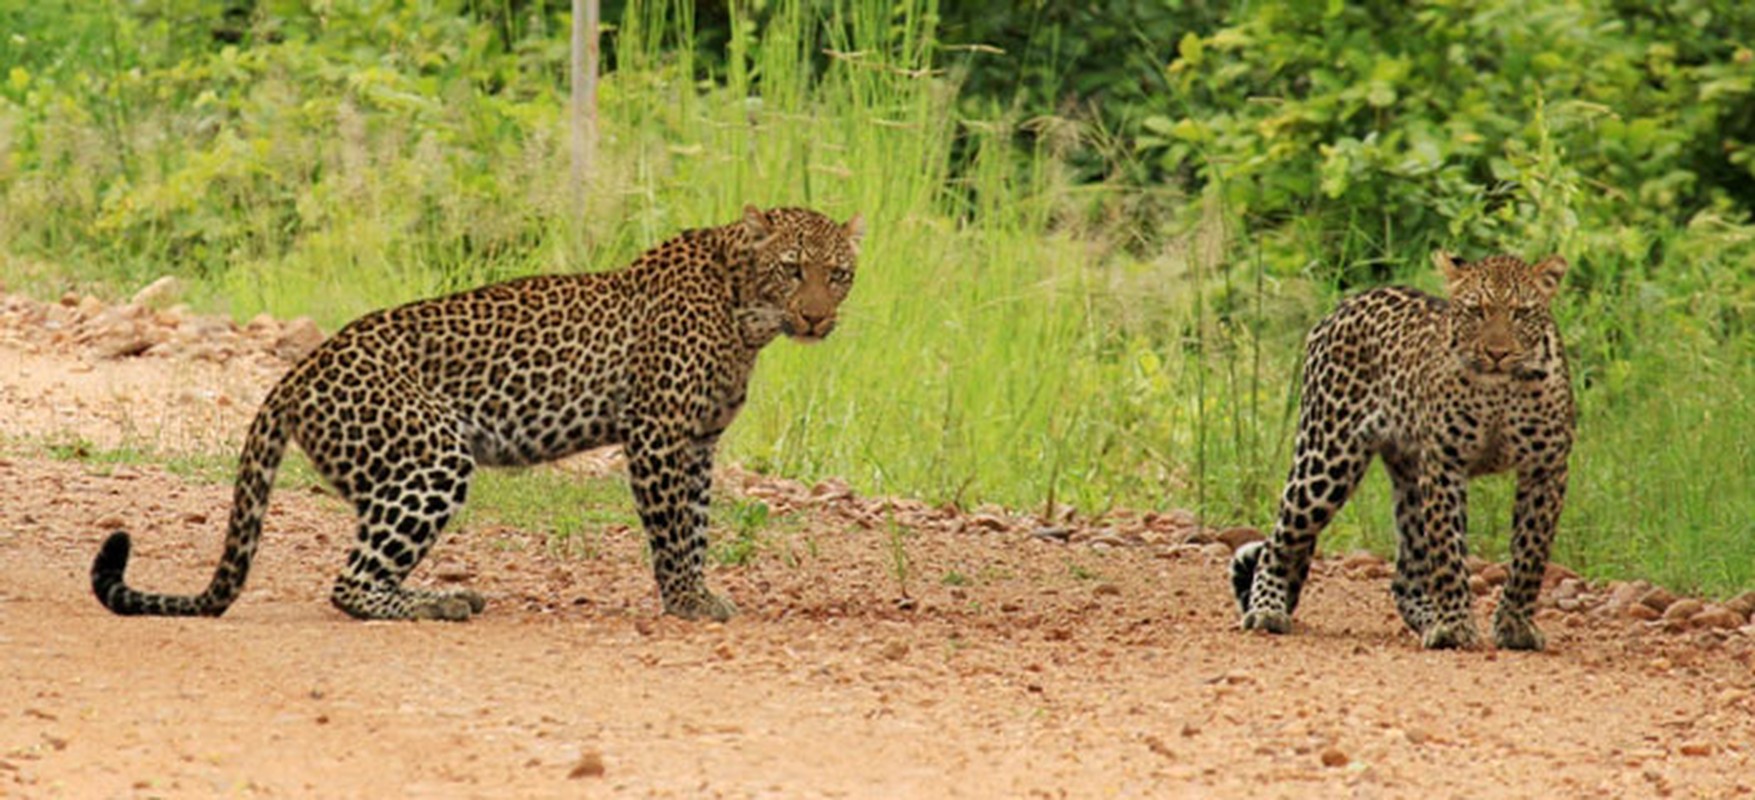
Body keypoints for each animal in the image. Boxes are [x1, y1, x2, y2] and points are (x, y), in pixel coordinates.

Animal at [94, 203, 863, 621]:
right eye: (792, 268)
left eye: (839, 274)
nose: (817, 318)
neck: (747, 315)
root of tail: (297, 372)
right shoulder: (657, 436)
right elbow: (672, 530)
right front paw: (685, 601)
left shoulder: (697, 443)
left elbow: (698, 527)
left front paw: (700, 592)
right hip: (432, 455)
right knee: (350, 584)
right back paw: (441, 603)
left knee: (366, 567)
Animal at [1235, 249, 1579, 649]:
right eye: (1476, 312)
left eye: (1521, 313)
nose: (1497, 353)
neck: (1499, 390)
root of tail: (1345, 303)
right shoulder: (1445, 462)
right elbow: (1448, 551)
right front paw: (1455, 626)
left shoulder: (1546, 467)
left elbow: (1530, 553)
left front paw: (1515, 627)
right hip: (1326, 458)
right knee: (1279, 542)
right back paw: (1267, 610)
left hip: (1408, 476)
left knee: (1407, 575)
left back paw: (1429, 619)